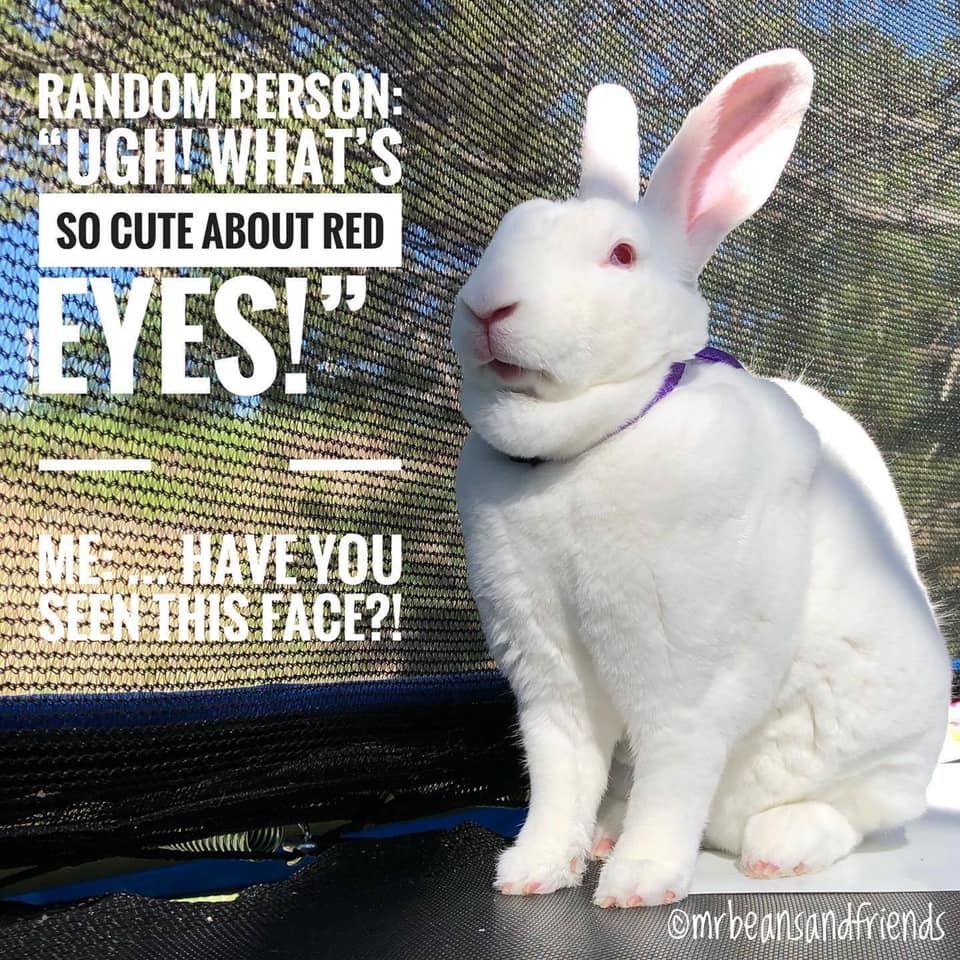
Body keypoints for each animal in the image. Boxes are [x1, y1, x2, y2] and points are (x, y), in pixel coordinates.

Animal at [450, 49, 950, 909]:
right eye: (504, 231)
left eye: (621, 255)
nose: (488, 307)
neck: (587, 445)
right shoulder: (547, 676)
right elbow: (559, 771)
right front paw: (532, 871)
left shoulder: (683, 671)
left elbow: (674, 766)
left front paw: (639, 884)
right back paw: (608, 831)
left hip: (876, 752)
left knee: (856, 815)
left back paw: (777, 848)